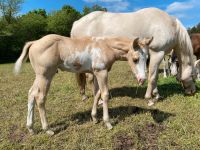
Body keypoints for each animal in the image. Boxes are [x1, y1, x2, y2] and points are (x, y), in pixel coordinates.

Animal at [15, 34, 153, 135]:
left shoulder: (96, 73)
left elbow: (97, 94)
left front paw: (94, 118)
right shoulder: (101, 72)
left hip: (39, 76)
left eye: (147, 58)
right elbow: (105, 94)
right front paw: (108, 123)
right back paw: (47, 129)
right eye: (135, 59)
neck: (105, 46)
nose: (142, 79)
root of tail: (34, 42)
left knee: (31, 93)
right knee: (40, 97)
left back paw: (31, 128)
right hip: (45, 76)